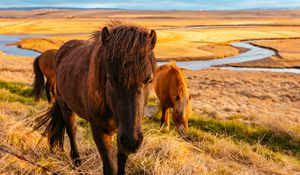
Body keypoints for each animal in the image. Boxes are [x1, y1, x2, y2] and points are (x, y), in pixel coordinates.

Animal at [34, 22, 157, 175]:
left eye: (149, 80)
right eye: (110, 79)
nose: (132, 142)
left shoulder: (122, 133)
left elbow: (121, 162)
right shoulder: (100, 131)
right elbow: (110, 167)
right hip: (65, 106)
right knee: (72, 131)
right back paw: (77, 161)